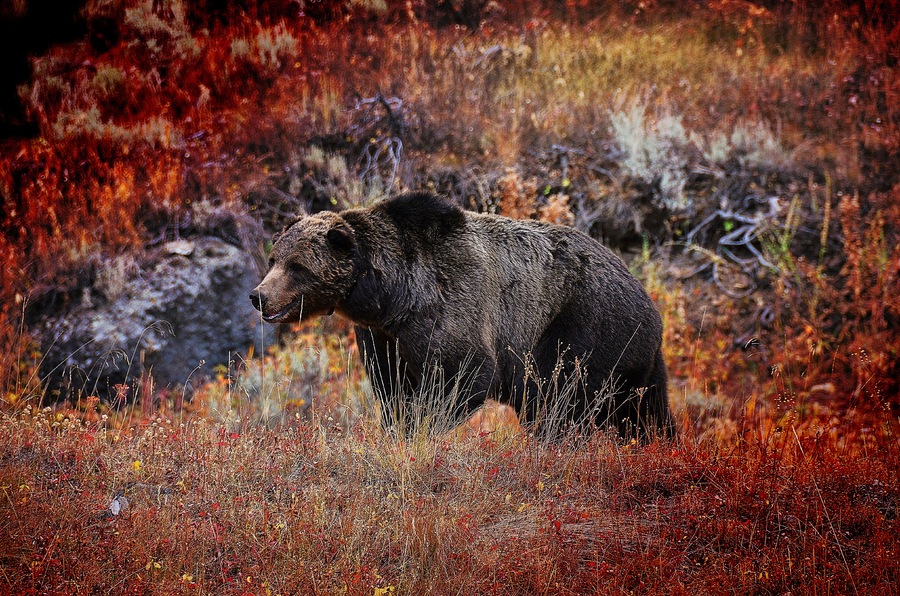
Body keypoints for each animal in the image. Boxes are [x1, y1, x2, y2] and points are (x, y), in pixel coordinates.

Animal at [250, 191, 672, 438]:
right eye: (274, 259)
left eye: (298, 267)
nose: (259, 296)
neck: (389, 296)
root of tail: (647, 298)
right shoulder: (383, 336)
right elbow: (391, 386)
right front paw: (397, 427)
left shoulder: (450, 306)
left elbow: (465, 373)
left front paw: (422, 429)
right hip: (639, 358)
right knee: (646, 409)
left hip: (583, 325)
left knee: (561, 397)